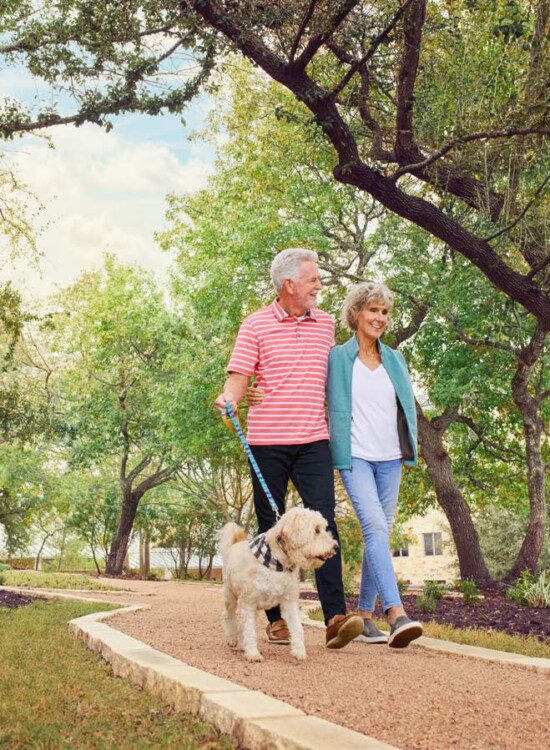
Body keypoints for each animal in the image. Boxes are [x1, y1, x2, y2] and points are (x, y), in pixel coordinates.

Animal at [218, 512, 338, 664]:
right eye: (316, 530)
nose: (336, 547)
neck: (277, 562)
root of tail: (236, 543)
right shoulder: (248, 603)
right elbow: (250, 631)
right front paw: (253, 654)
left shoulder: (290, 601)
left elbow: (297, 628)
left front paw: (299, 652)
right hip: (231, 596)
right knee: (228, 615)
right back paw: (232, 639)